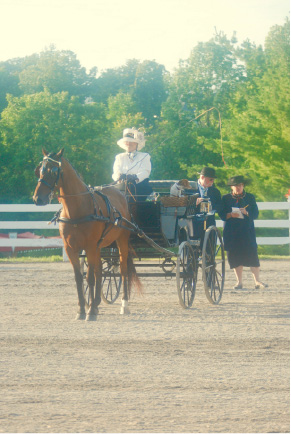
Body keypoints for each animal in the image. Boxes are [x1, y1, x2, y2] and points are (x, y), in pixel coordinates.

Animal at [32, 147, 142, 320]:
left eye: (54, 170)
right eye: (40, 170)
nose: (38, 199)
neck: (76, 211)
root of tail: (121, 193)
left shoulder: (89, 246)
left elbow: (89, 278)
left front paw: (89, 313)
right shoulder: (71, 249)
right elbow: (80, 278)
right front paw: (82, 310)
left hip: (121, 241)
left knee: (123, 270)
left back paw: (123, 305)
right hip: (99, 247)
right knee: (100, 271)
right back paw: (95, 304)